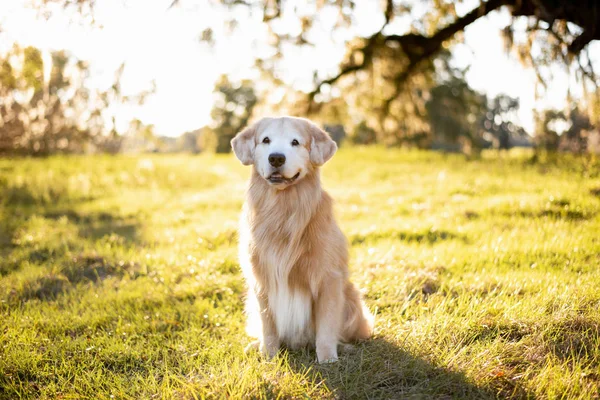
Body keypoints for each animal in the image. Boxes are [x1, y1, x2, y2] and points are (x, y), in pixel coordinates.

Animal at [232, 115, 372, 362]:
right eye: (266, 140)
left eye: (295, 142)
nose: (276, 158)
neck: (283, 208)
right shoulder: (261, 280)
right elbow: (268, 325)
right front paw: (268, 355)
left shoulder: (328, 278)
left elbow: (326, 325)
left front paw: (327, 358)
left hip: (352, 300)